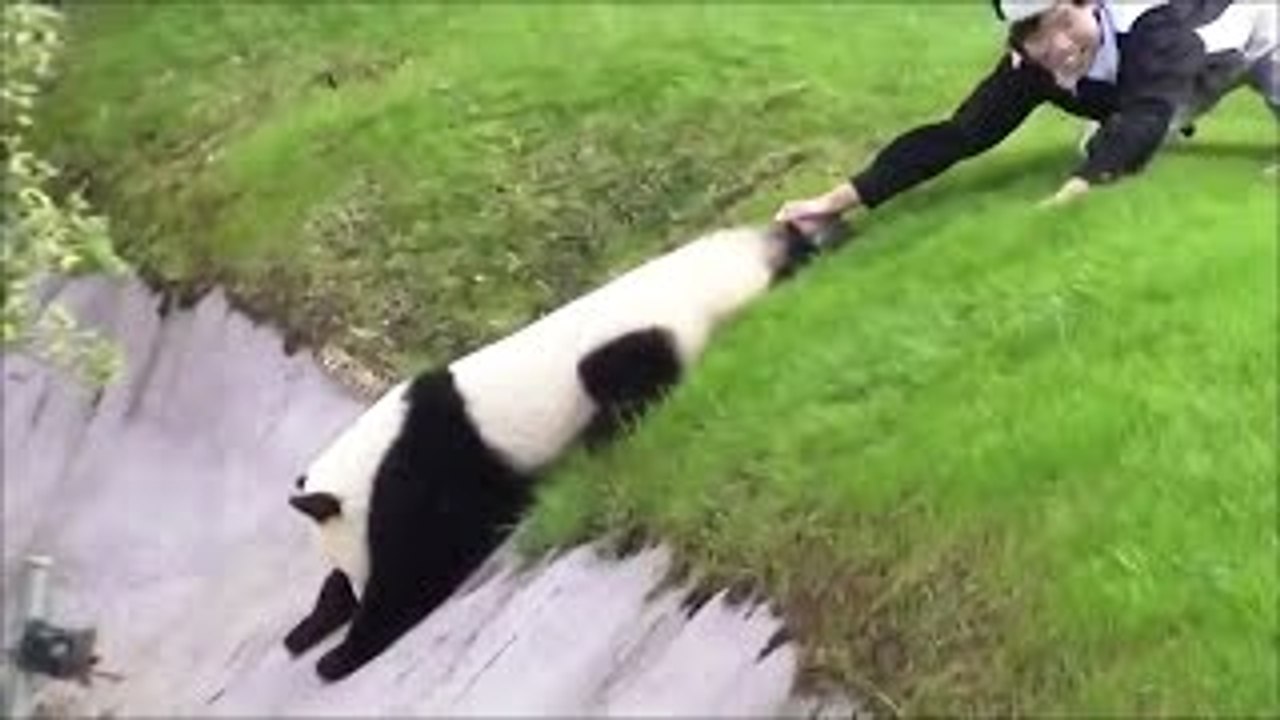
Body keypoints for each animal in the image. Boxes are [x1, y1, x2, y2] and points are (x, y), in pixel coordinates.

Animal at [284, 219, 847, 682]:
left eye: (355, 559)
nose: (357, 588)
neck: (368, 461)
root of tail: (742, 256)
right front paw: (310, 625)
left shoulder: (426, 467)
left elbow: (423, 563)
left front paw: (340, 652)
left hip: (634, 331)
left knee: (627, 379)